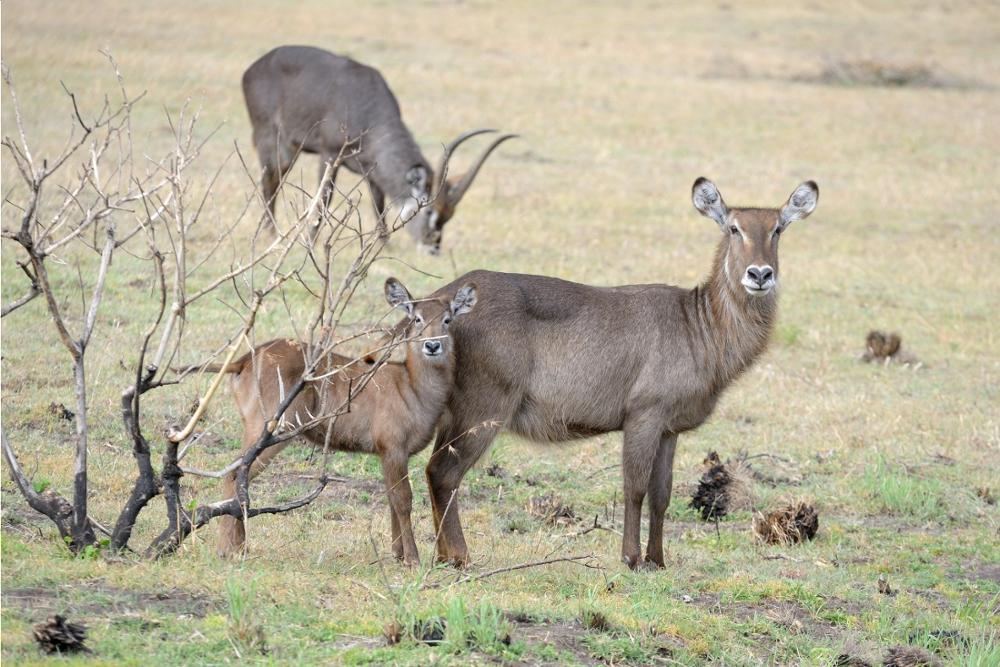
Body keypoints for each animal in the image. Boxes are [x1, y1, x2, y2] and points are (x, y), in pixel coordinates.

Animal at [216, 276, 480, 564]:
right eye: (417, 318)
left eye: (447, 319)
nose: (432, 345)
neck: (411, 386)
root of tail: (243, 360)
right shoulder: (393, 447)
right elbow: (403, 499)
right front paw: (412, 559)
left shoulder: (389, 454)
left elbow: (391, 497)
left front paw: (398, 554)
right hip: (270, 430)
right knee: (234, 474)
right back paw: (230, 548)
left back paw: (237, 546)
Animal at [242, 44, 516, 253]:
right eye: (429, 211)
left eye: (449, 215)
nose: (433, 247)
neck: (367, 107)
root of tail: (255, 67)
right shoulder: (330, 154)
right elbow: (324, 199)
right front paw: (310, 241)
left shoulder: (371, 169)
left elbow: (378, 203)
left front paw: (384, 244)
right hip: (276, 144)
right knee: (269, 183)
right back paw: (271, 234)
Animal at [422, 176, 820, 568]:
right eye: (734, 228)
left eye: (778, 229)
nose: (760, 274)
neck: (700, 326)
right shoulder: (644, 414)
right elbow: (635, 487)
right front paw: (630, 558)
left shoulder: (669, 429)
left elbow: (662, 494)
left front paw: (658, 560)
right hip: (484, 406)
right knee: (443, 472)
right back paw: (459, 557)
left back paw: (443, 556)